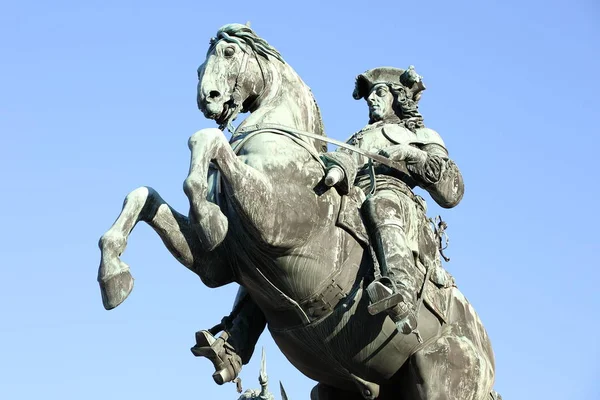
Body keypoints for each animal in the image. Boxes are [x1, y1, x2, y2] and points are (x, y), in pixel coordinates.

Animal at [98, 23, 500, 398]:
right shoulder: (214, 265)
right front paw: (114, 276)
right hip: (336, 388)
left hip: (439, 375)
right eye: (200, 66)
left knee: (384, 205)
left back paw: (395, 297)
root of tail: (486, 354)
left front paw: (208, 217)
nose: (207, 99)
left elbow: (205, 140)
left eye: (229, 52)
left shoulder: (275, 220)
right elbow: (143, 195)